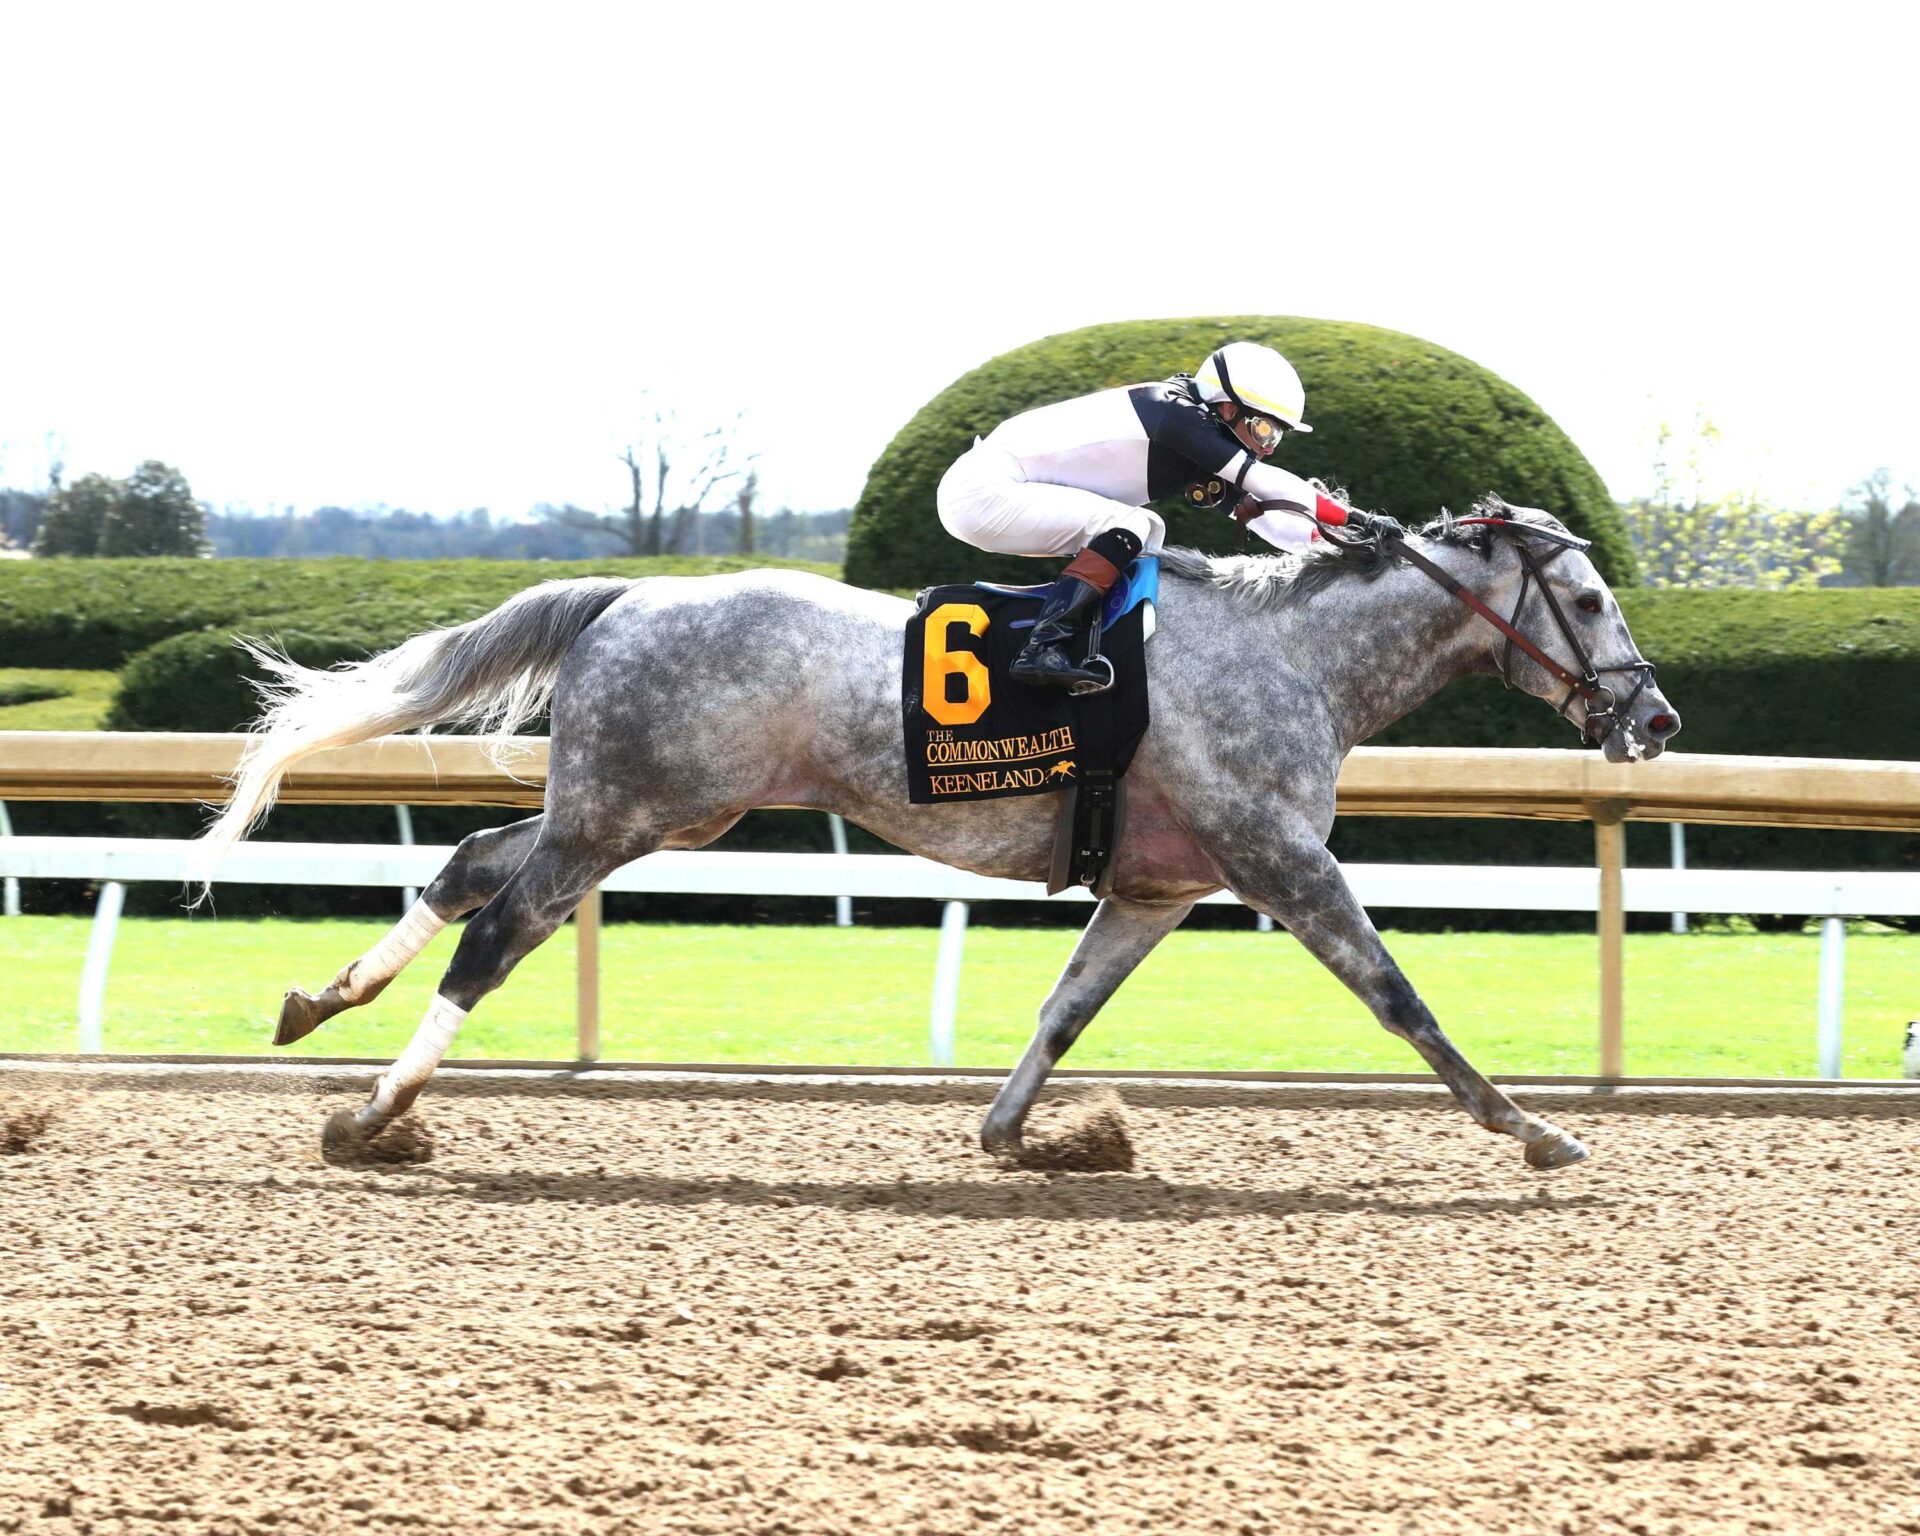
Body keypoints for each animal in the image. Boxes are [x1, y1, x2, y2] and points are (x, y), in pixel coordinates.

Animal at [198, 496, 1680, 1168]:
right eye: (1589, 599)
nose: (1656, 715)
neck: (1294, 656)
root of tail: (626, 595)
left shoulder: (1159, 886)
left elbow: (1066, 1008)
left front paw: (1017, 1130)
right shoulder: (1281, 859)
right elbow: (1400, 996)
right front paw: (1534, 1131)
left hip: (653, 808)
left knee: (467, 868)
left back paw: (317, 1001)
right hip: (629, 812)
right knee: (501, 928)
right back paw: (378, 1108)